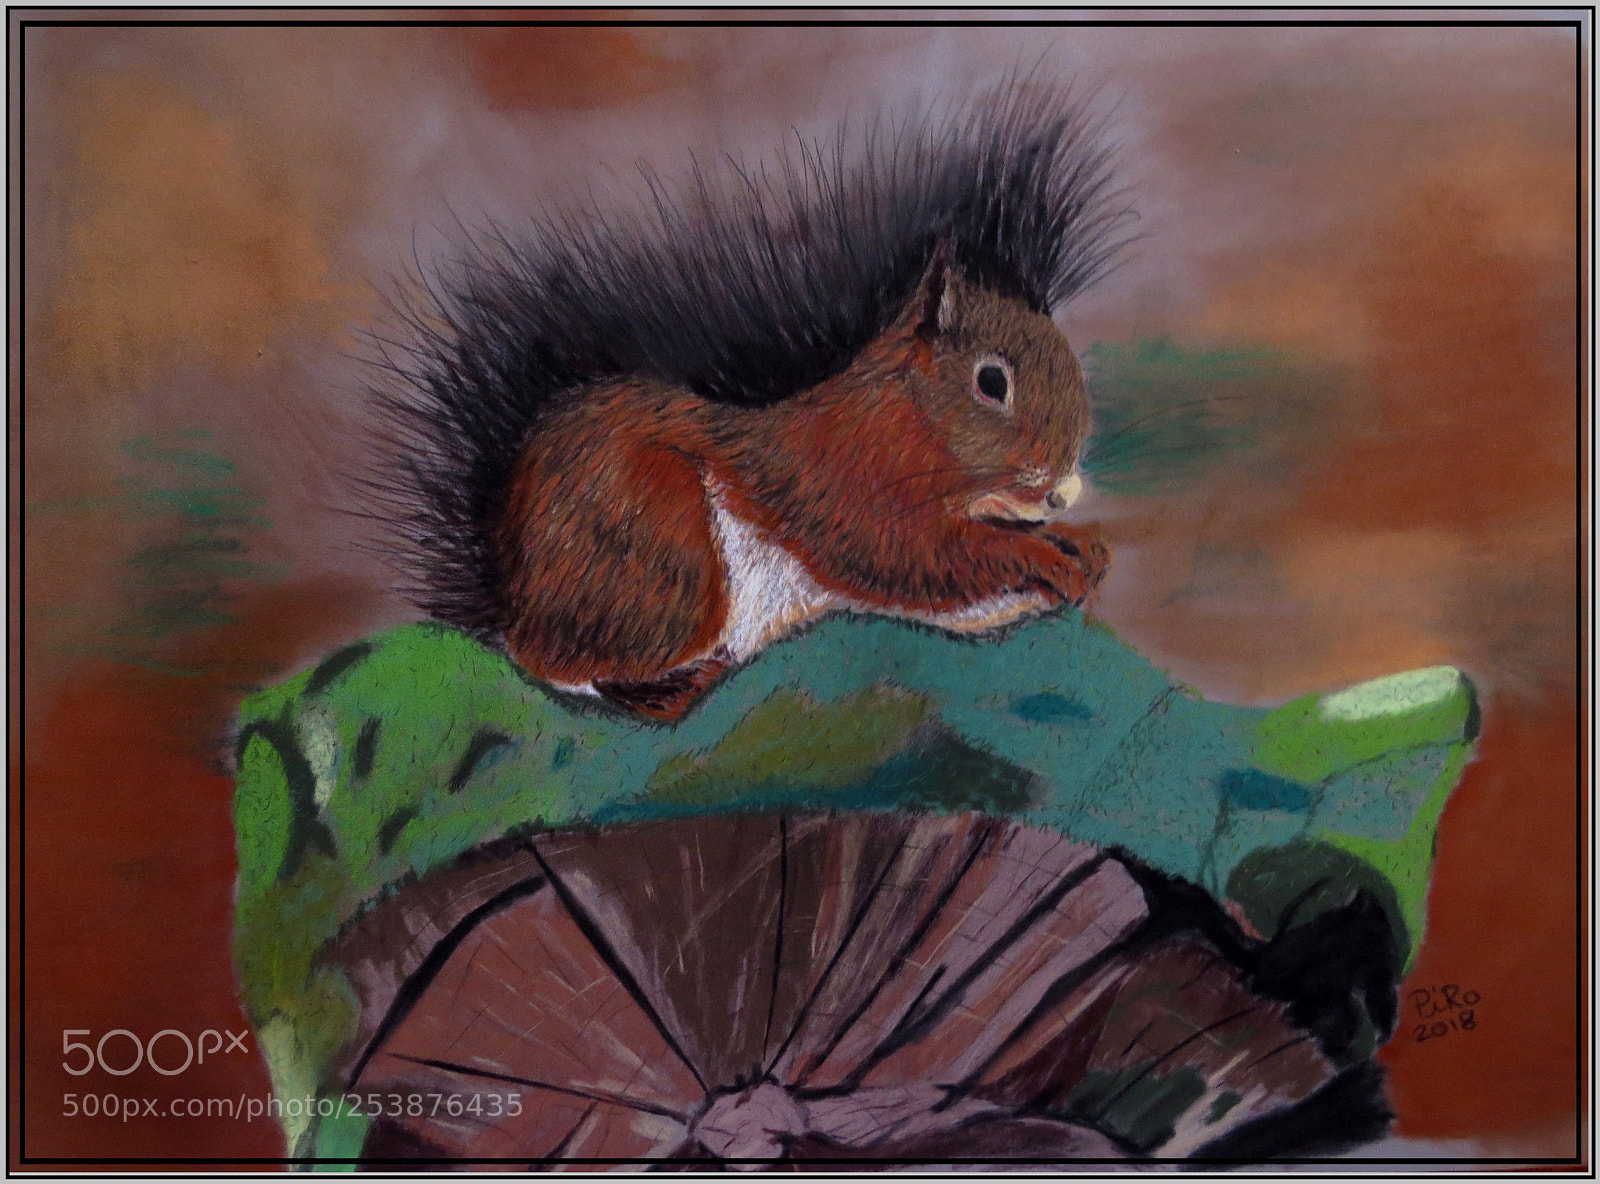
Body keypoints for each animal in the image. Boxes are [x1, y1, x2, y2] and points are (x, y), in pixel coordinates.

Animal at [370, 83, 1131, 721]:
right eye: (991, 382)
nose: (1063, 488)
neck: (905, 425)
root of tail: (512, 602)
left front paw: (1080, 547)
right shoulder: (848, 495)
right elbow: (931, 557)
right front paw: (1045, 557)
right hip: (666, 558)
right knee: (558, 666)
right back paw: (669, 690)